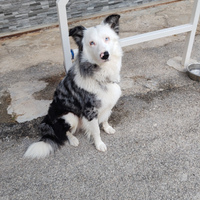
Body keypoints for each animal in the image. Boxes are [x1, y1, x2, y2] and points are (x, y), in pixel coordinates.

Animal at [24, 14, 122, 159]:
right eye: (91, 43)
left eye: (107, 38)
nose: (104, 55)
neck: (101, 75)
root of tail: (48, 119)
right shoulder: (90, 111)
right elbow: (96, 131)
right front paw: (99, 144)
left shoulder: (107, 103)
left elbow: (105, 118)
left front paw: (108, 128)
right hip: (70, 116)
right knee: (66, 132)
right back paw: (74, 140)